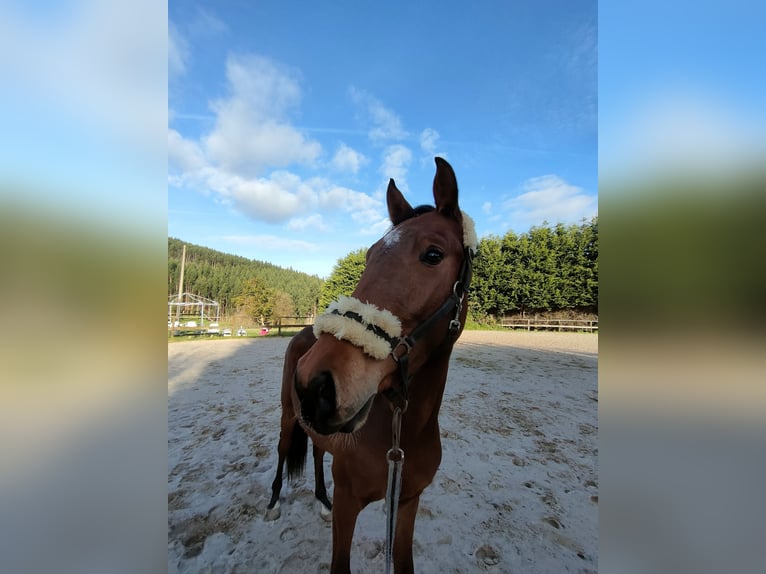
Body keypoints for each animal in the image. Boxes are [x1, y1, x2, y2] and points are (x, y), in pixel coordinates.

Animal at [268, 158, 476, 574]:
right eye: (369, 256)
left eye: (433, 255)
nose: (314, 384)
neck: (401, 433)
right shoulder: (349, 505)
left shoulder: (408, 504)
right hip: (287, 417)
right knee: (283, 452)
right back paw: (273, 504)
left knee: (318, 453)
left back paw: (321, 501)